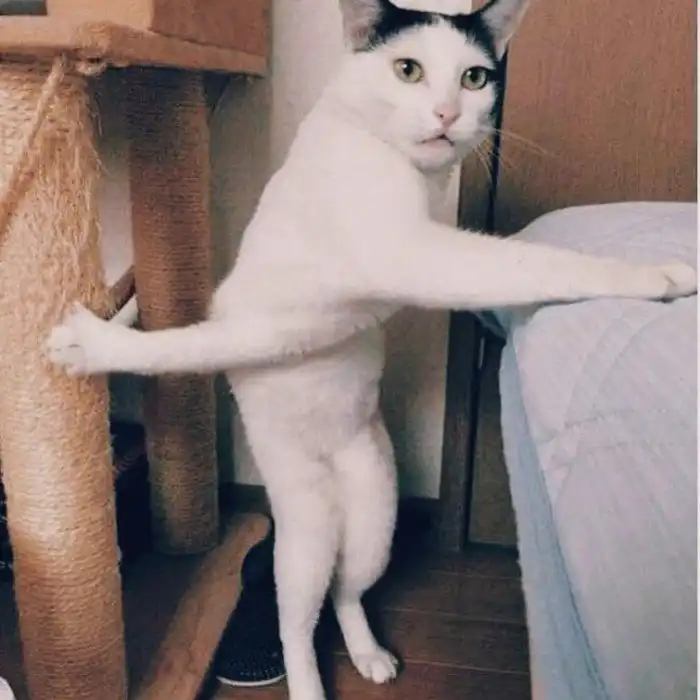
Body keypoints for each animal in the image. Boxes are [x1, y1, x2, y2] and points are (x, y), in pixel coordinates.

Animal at [47, 0, 696, 698]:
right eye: (407, 69)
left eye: (474, 77)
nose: (447, 114)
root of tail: (335, 474)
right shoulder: (408, 254)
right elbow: (539, 264)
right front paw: (658, 275)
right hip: (306, 529)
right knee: (297, 620)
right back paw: (310, 684)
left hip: (376, 516)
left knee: (346, 592)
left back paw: (368, 654)